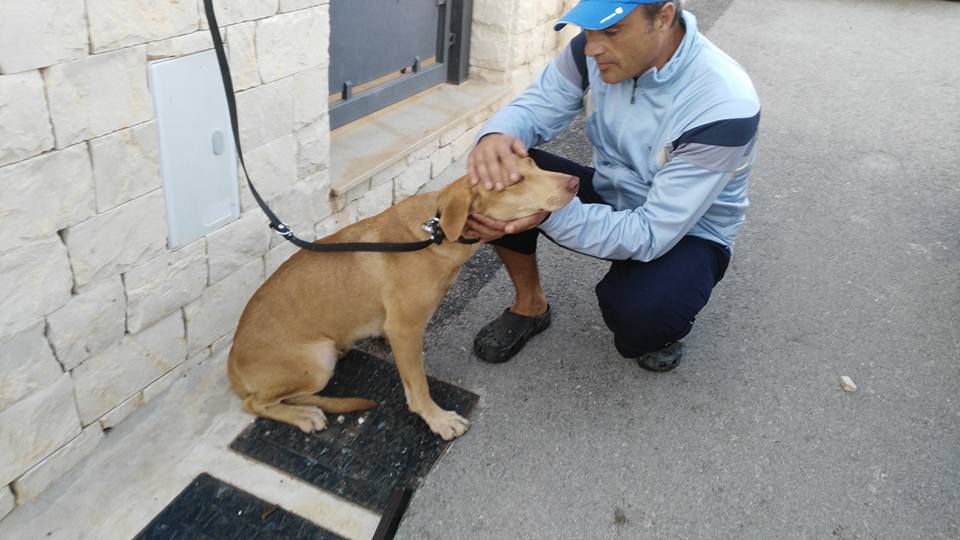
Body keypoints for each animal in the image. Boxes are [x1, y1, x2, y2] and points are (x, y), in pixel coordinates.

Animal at [229, 156, 576, 438]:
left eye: (532, 162)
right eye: (515, 181)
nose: (575, 182)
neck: (435, 231)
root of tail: (232, 360)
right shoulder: (405, 330)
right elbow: (418, 386)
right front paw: (438, 420)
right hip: (316, 364)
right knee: (254, 403)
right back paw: (302, 416)